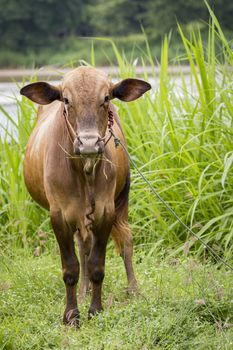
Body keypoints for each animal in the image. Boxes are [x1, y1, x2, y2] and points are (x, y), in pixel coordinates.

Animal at [20, 67, 151, 326]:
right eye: (66, 100)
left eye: (106, 98)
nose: (89, 143)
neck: (84, 170)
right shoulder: (58, 216)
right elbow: (71, 268)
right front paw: (71, 315)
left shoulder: (106, 212)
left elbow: (97, 265)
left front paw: (95, 310)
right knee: (83, 247)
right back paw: (83, 291)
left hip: (122, 199)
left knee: (125, 242)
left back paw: (132, 289)